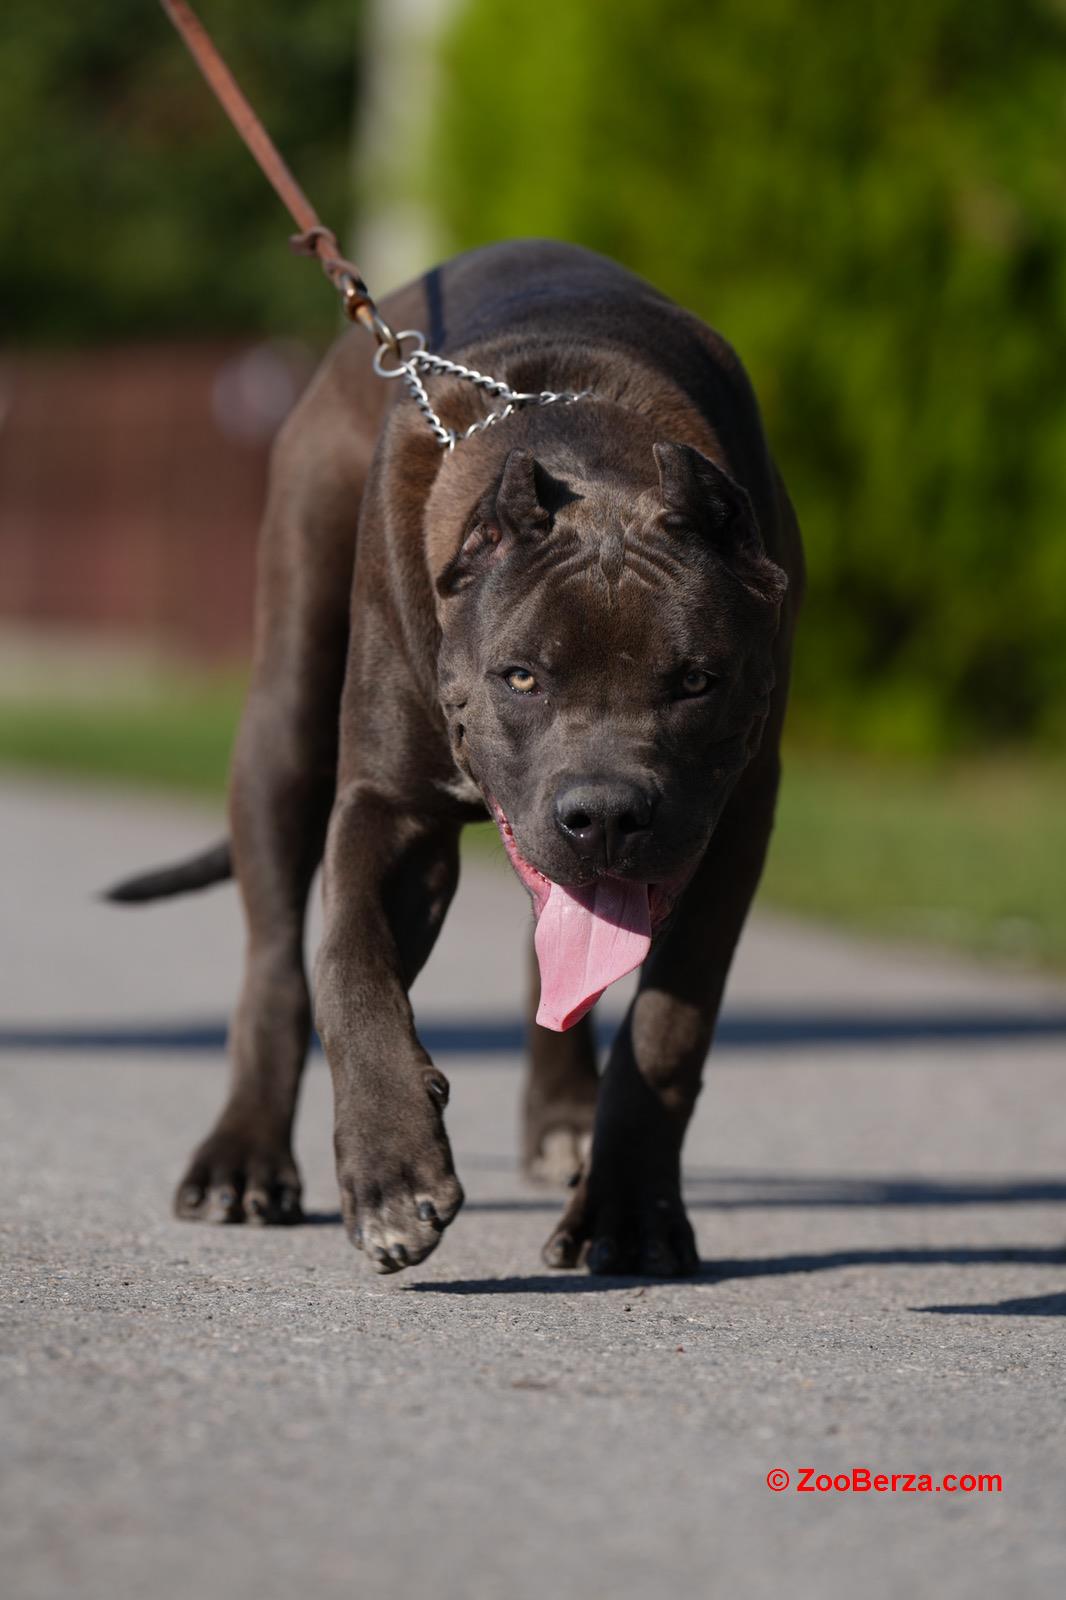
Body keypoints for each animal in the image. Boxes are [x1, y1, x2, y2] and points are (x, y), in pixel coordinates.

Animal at [112, 236, 800, 1280]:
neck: (595, 460)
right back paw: (242, 1157)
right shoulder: (389, 808)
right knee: (274, 953)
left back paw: (564, 1120)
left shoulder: (735, 826)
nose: (606, 813)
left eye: (696, 681)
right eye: (520, 676)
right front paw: (392, 1170)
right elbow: (348, 959)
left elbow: (668, 1027)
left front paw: (630, 1210)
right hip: (286, 713)